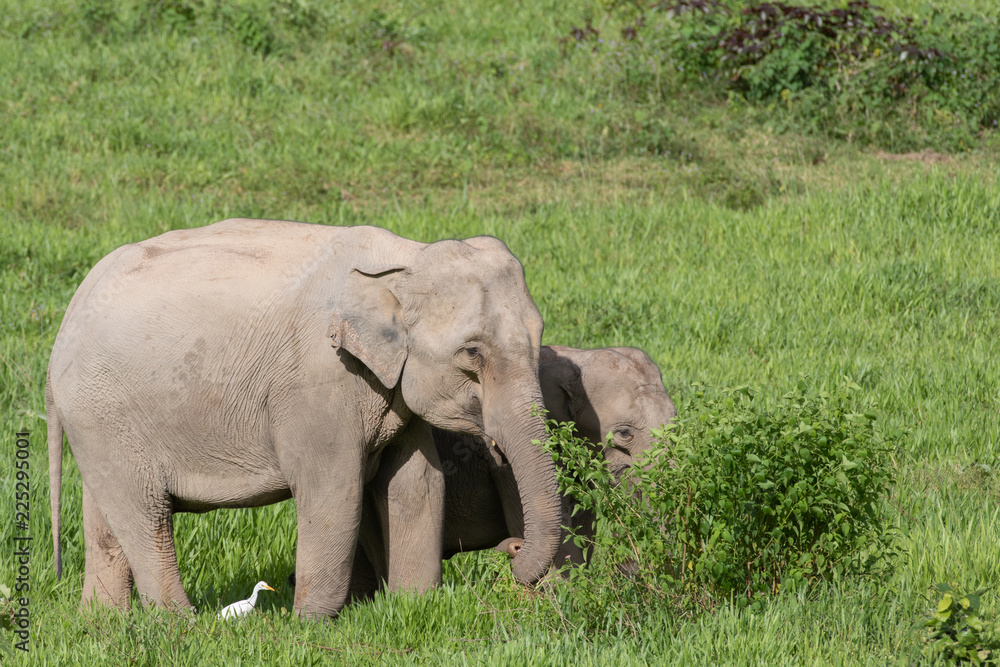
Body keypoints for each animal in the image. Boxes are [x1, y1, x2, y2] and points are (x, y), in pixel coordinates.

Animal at [46, 218, 563, 619]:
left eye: (540, 333)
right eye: (472, 352)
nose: (514, 552)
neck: (405, 258)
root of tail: (62, 329)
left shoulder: (389, 385)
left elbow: (416, 482)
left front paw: (414, 607)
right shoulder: (317, 383)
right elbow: (332, 489)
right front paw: (310, 625)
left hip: (98, 419)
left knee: (105, 520)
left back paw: (101, 623)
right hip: (104, 411)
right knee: (144, 515)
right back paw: (182, 624)